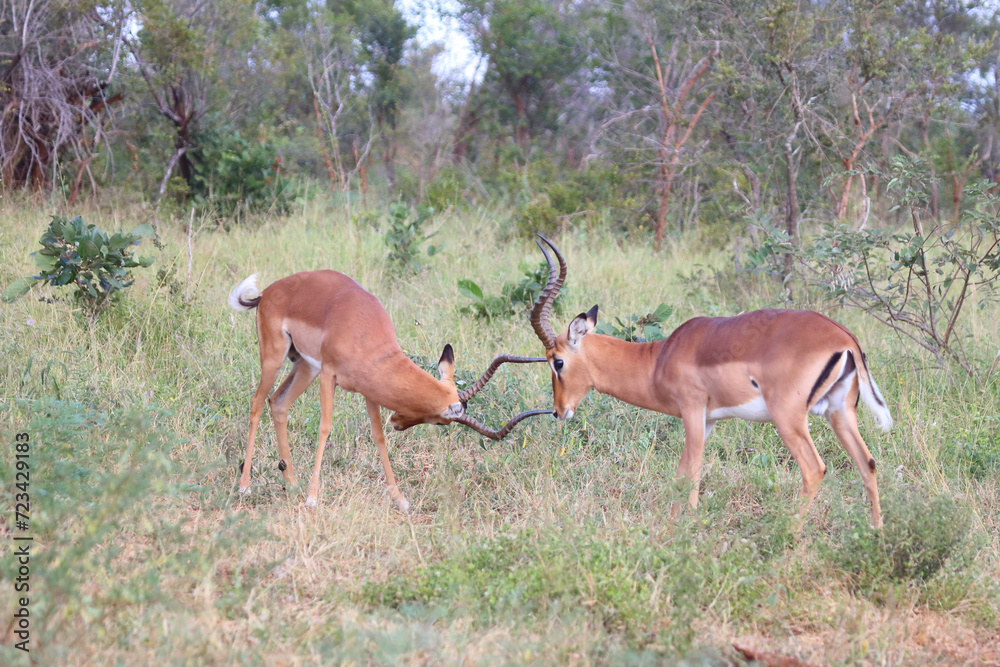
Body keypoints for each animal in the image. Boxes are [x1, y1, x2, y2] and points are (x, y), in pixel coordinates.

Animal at [229, 270, 549, 511]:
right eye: (441, 421)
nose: (397, 421)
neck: (363, 333)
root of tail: (268, 292)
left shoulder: (367, 390)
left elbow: (378, 437)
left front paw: (401, 500)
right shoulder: (330, 375)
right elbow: (325, 427)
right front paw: (313, 499)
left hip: (306, 366)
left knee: (278, 403)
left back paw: (292, 485)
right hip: (276, 357)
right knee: (256, 403)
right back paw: (245, 487)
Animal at [528, 237, 893, 528]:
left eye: (557, 361)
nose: (558, 411)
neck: (659, 358)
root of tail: (844, 338)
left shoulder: (692, 411)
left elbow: (692, 472)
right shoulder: (709, 420)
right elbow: (682, 472)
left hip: (789, 417)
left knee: (815, 469)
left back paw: (790, 534)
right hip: (840, 412)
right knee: (868, 463)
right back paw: (877, 532)